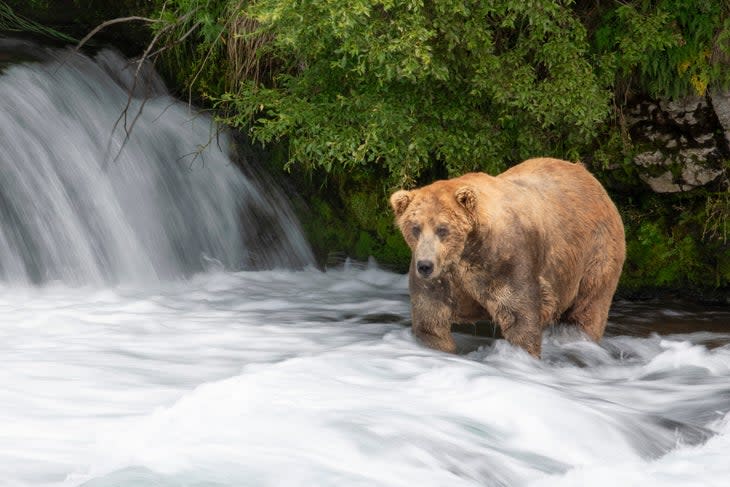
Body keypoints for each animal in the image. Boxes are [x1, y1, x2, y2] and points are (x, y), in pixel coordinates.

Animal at [390, 157, 624, 358]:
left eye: (442, 229)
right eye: (415, 228)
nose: (425, 266)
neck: (466, 252)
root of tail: (590, 177)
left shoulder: (506, 262)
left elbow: (520, 317)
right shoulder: (443, 278)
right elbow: (430, 320)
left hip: (595, 253)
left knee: (588, 308)